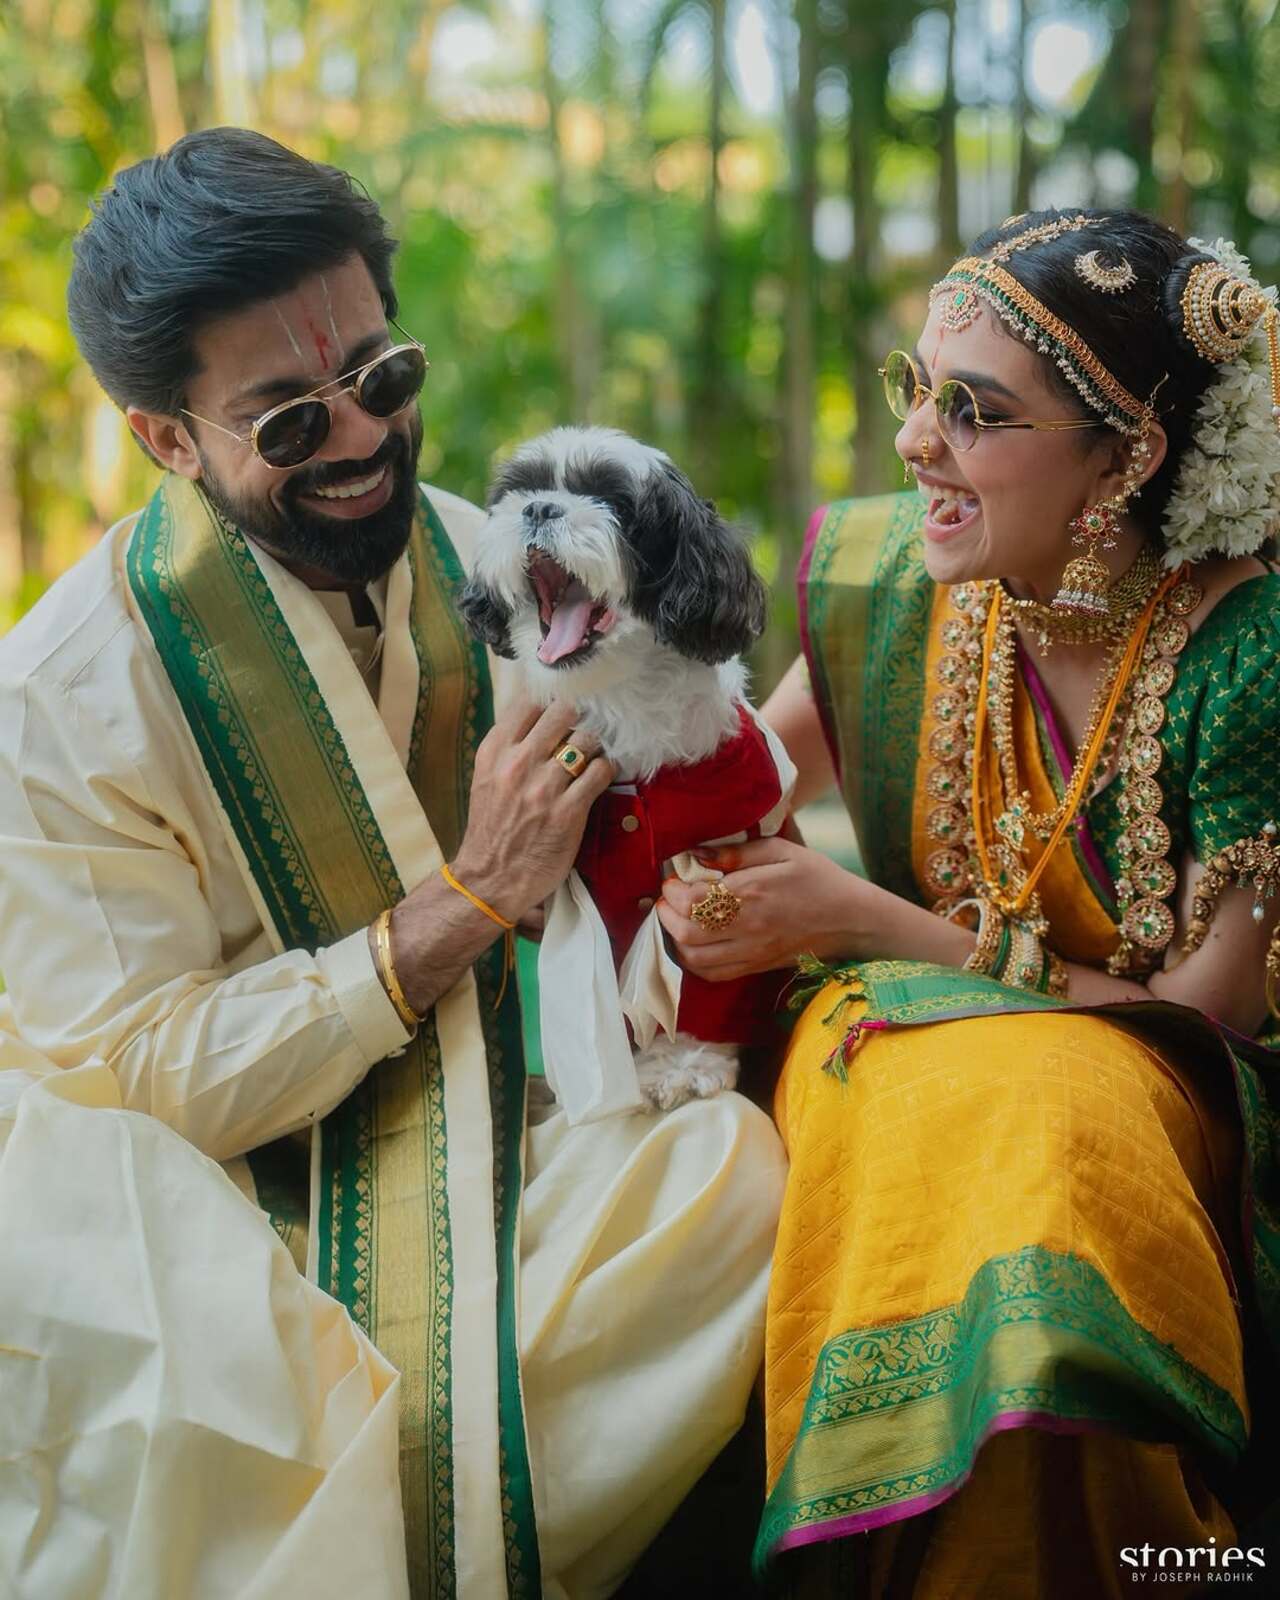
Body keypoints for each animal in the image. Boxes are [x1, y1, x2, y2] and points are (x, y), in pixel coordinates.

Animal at [454, 432, 793, 1120]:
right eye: (521, 490)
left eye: (612, 499)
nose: (540, 509)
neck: (617, 703)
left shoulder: (711, 864)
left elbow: (699, 989)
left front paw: (686, 1062)